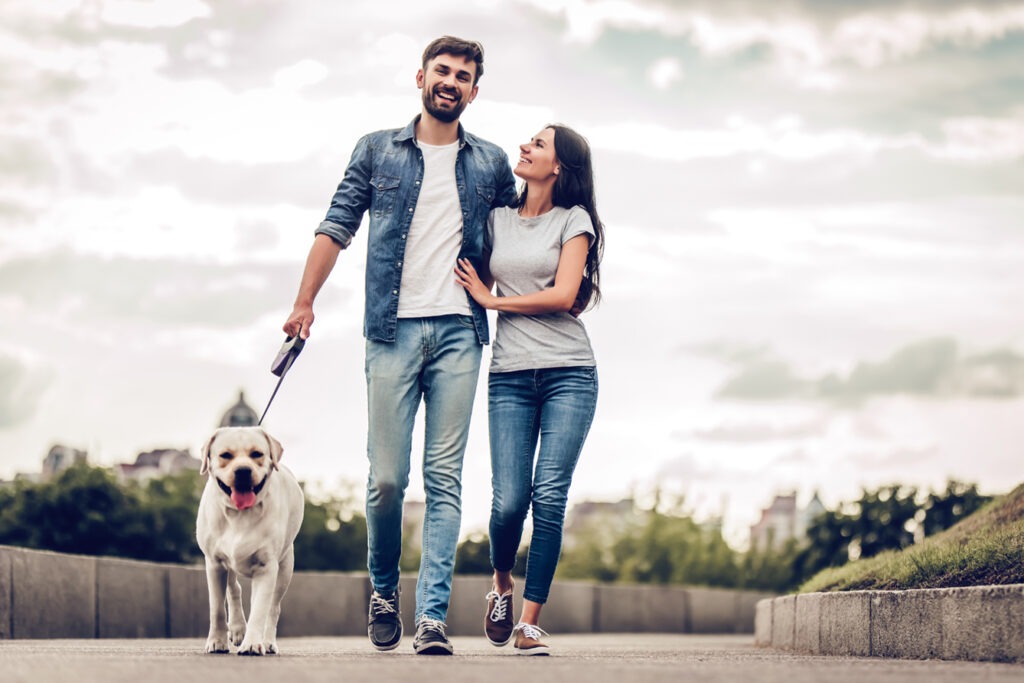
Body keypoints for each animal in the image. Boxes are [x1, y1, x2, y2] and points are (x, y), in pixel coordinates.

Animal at [196, 428, 303, 655]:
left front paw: (253, 643)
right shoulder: (214, 563)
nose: (243, 470)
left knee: (273, 607)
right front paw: (217, 641)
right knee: (234, 588)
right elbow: (217, 608)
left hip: (285, 568)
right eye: (226, 455)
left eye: (257, 454)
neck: (239, 514)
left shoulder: (266, 566)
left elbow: (260, 610)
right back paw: (237, 628)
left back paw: (268, 641)